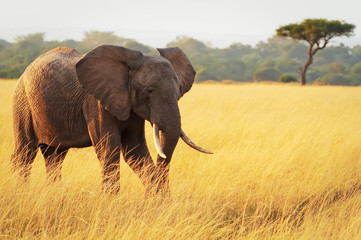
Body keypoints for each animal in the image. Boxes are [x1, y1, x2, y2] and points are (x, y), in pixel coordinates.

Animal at [11, 44, 211, 195]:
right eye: (150, 90)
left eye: (178, 91)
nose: (154, 197)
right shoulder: (96, 102)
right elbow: (109, 149)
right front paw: (111, 203)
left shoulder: (131, 105)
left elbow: (134, 150)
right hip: (22, 102)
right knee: (25, 152)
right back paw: (21, 194)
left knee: (55, 156)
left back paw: (55, 195)